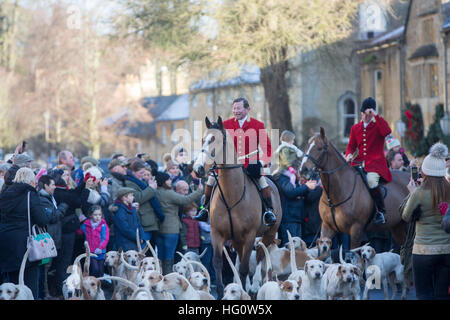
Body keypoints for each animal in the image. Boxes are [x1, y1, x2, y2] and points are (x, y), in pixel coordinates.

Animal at [193, 116, 282, 298]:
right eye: (203, 139)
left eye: (216, 140)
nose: (197, 168)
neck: (230, 195)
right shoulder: (217, 234)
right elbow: (218, 263)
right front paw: (223, 292)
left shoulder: (249, 236)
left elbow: (245, 267)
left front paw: (242, 290)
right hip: (237, 239)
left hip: (268, 234)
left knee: (260, 257)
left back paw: (254, 286)